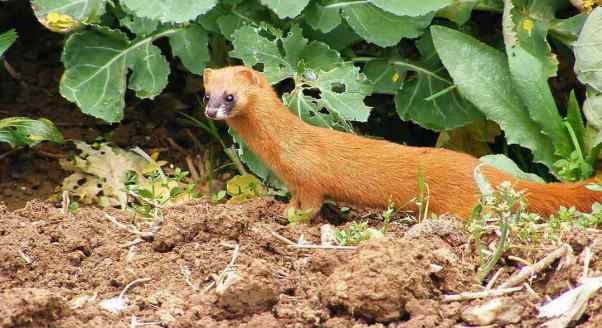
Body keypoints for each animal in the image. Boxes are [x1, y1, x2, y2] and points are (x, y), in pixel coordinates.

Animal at [203, 65, 600, 219]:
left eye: (230, 96)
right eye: (207, 94)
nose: (210, 111)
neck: (282, 151)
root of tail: (485, 169)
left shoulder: (310, 178)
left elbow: (312, 204)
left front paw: (293, 219)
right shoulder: (294, 181)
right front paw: (285, 210)